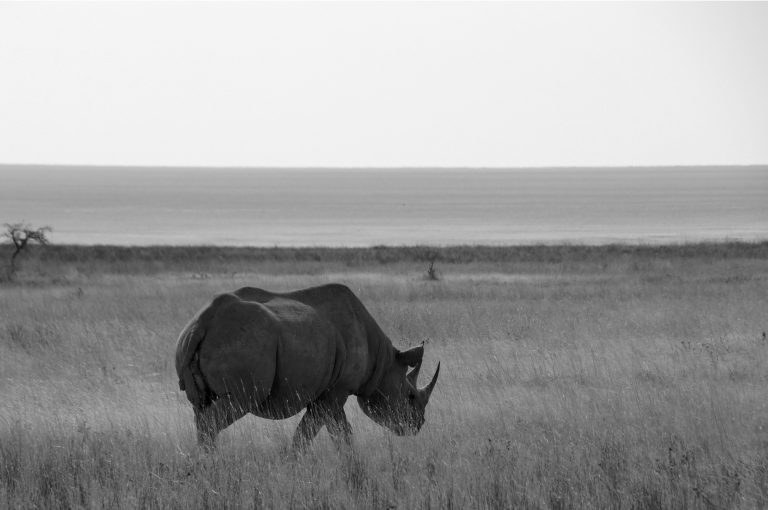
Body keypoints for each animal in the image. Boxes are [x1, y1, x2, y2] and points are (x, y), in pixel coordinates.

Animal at [174, 284, 438, 448]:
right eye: (410, 396)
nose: (418, 424)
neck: (382, 362)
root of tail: (202, 321)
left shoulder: (328, 392)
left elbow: (337, 432)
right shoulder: (335, 391)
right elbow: (317, 433)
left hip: (196, 340)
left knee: (200, 410)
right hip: (243, 341)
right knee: (234, 404)